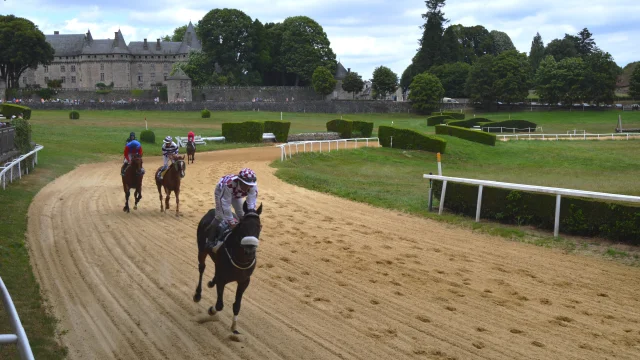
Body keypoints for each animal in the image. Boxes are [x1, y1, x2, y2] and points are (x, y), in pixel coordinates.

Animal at [192, 201, 262, 336]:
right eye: (242, 225)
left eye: (259, 226)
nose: (250, 251)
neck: (241, 260)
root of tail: (211, 210)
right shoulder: (222, 280)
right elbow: (219, 305)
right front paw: (211, 310)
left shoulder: (244, 281)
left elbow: (237, 305)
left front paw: (234, 327)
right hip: (202, 250)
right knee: (202, 268)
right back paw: (198, 294)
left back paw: (211, 282)